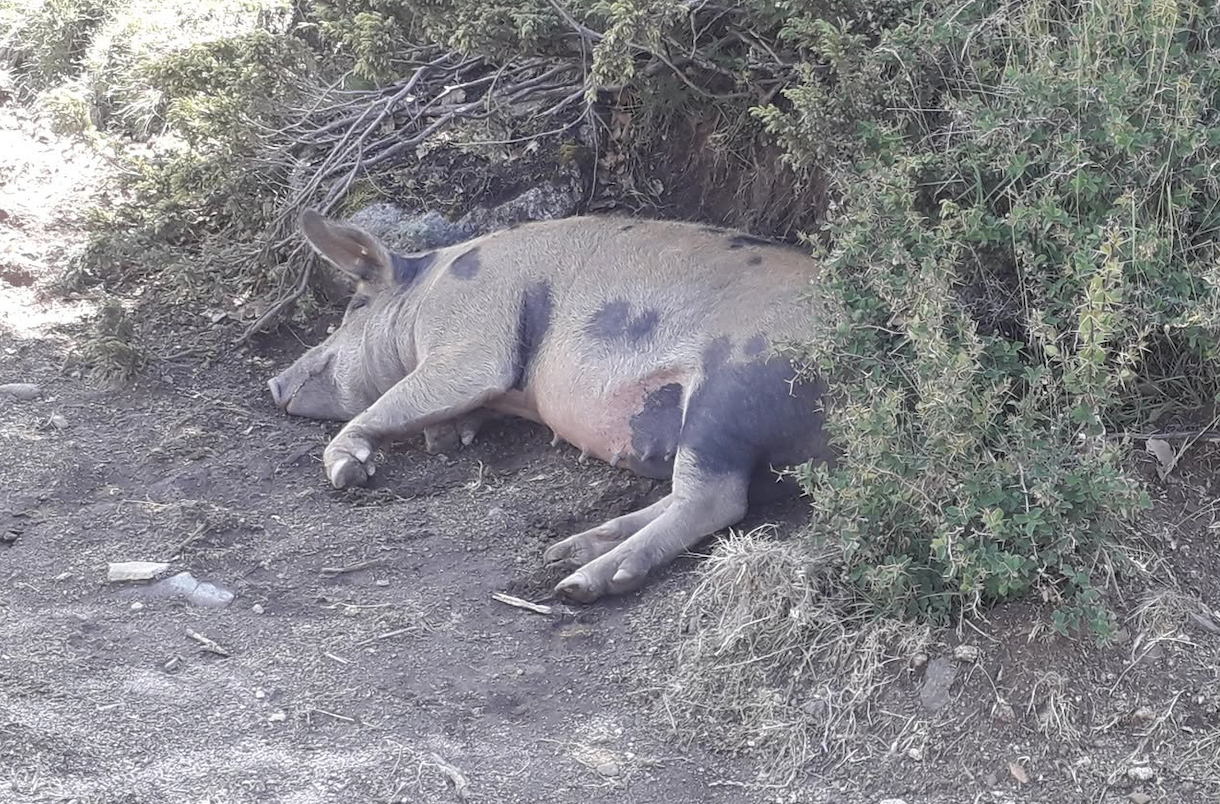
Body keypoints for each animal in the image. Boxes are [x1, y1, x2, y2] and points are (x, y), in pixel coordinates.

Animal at [268, 209, 831, 602]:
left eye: (356, 307)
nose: (275, 384)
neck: (426, 291)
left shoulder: (469, 339)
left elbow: (410, 394)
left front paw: (349, 470)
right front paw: (449, 437)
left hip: (730, 388)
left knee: (714, 499)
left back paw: (581, 584)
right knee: (699, 494)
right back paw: (564, 552)